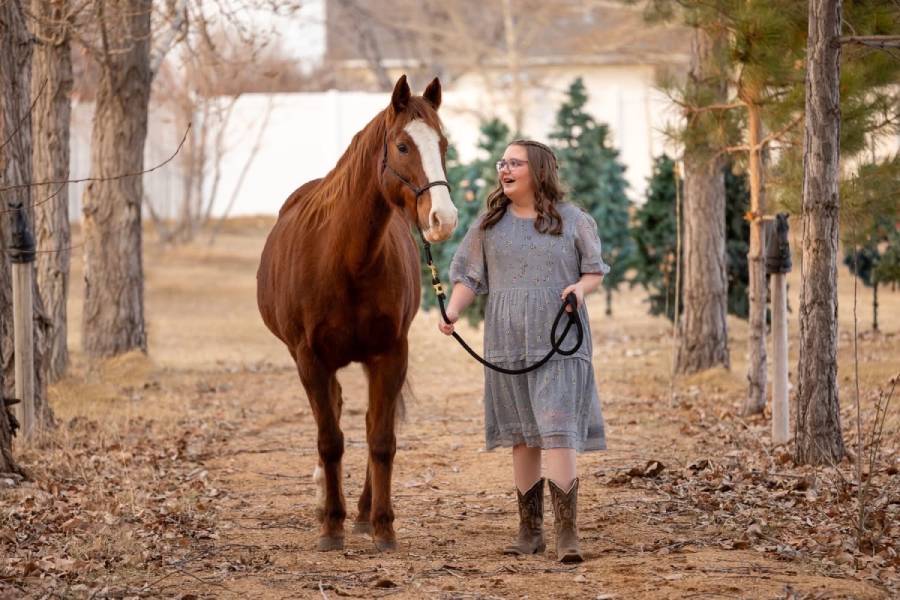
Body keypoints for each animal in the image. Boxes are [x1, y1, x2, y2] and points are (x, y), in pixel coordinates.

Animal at [256, 75, 458, 552]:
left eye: (443, 144)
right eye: (403, 146)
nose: (443, 219)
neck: (345, 259)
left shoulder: (389, 355)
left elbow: (380, 438)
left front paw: (382, 525)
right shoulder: (309, 359)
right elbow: (330, 440)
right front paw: (332, 524)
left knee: (367, 422)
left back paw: (364, 511)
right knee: (333, 413)